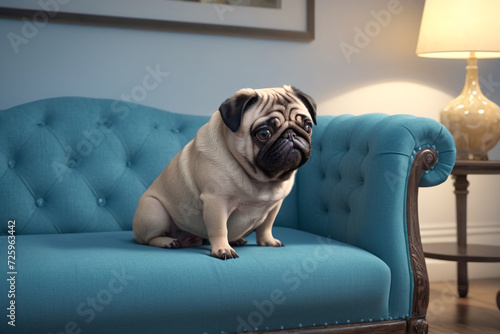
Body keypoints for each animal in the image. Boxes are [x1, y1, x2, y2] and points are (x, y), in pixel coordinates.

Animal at [133, 85, 316, 260]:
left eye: (307, 127)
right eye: (264, 133)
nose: (291, 135)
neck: (261, 179)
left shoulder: (275, 205)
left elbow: (266, 226)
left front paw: (267, 241)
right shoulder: (216, 202)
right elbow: (219, 228)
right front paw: (222, 249)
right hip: (154, 211)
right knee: (147, 239)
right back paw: (168, 241)